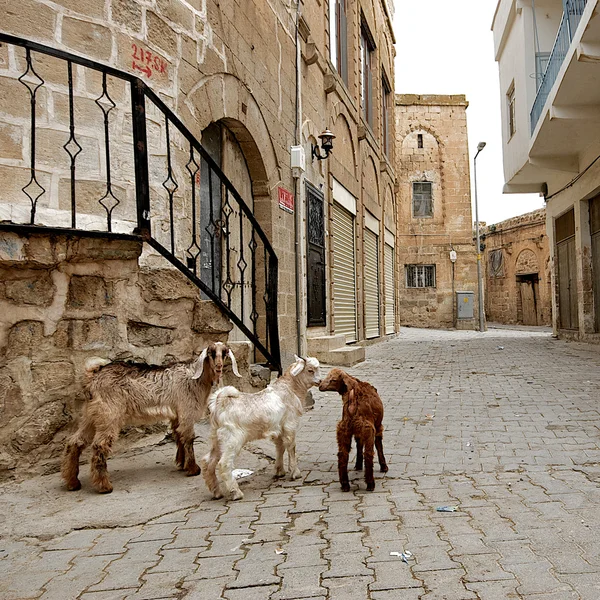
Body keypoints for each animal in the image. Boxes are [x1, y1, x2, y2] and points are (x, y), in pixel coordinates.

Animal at [60, 340, 239, 494]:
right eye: (211, 353)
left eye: (224, 353)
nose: (219, 367)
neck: (196, 378)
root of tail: (92, 377)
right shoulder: (186, 411)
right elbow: (188, 438)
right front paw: (193, 469)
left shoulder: (176, 414)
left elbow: (178, 435)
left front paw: (181, 464)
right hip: (109, 415)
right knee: (99, 445)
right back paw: (104, 486)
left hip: (90, 415)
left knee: (75, 442)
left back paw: (72, 482)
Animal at [200, 354, 324, 500]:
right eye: (310, 370)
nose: (320, 381)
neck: (290, 388)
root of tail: (220, 401)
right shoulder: (290, 425)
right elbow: (291, 447)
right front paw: (295, 473)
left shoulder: (278, 429)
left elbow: (280, 447)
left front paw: (279, 471)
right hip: (232, 440)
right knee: (224, 464)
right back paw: (236, 492)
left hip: (217, 439)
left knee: (208, 462)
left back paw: (217, 492)